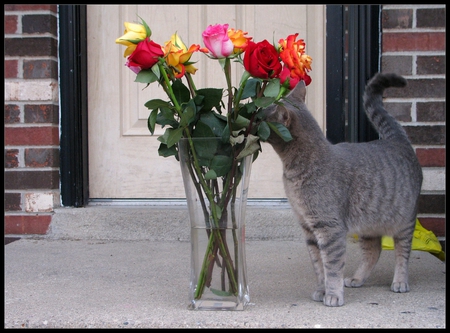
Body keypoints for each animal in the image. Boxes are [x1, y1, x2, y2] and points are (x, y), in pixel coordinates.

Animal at [262, 72, 424, 306]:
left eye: (261, 117)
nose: (252, 116)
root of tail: (397, 140)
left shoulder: (330, 227)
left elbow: (332, 267)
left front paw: (332, 295)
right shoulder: (309, 228)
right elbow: (319, 267)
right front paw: (321, 290)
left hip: (405, 222)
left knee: (403, 254)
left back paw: (400, 282)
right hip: (369, 224)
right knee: (373, 251)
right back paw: (357, 278)